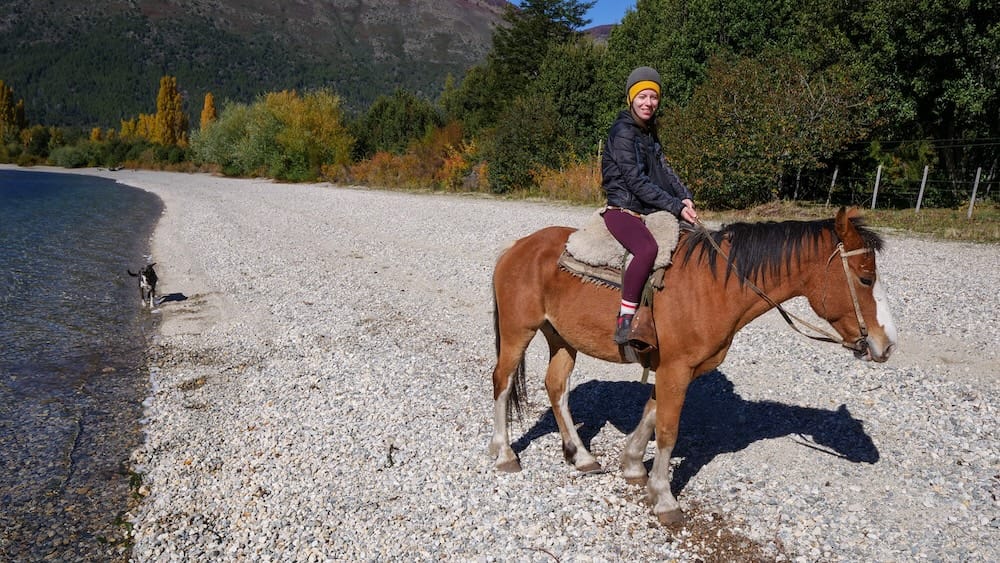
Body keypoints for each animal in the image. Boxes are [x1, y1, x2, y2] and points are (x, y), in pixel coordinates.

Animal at [488, 207, 897, 525]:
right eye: (865, 278)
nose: (888, 344)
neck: (714, 285)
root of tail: (518, 246)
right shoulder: (676, 368)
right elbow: (668, 431)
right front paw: (664, 498)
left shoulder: (675, 369)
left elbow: (652, 413)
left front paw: (633, 466)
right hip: (518, 330)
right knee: (502, 381)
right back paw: (505, 453)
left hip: (561, 338)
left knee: (556, 387)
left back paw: (581, 456)